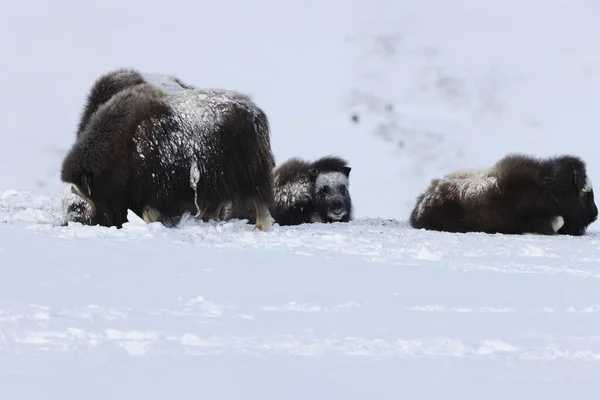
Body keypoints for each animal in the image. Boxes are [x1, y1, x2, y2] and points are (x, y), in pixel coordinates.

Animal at [59, 69, 276, 231]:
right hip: (217, 179)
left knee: (259, 200)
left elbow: (147, 212)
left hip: (249, 174)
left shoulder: (150, 188)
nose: (66, 224)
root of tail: (256, 112)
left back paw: (260, 227)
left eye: (77, 205)